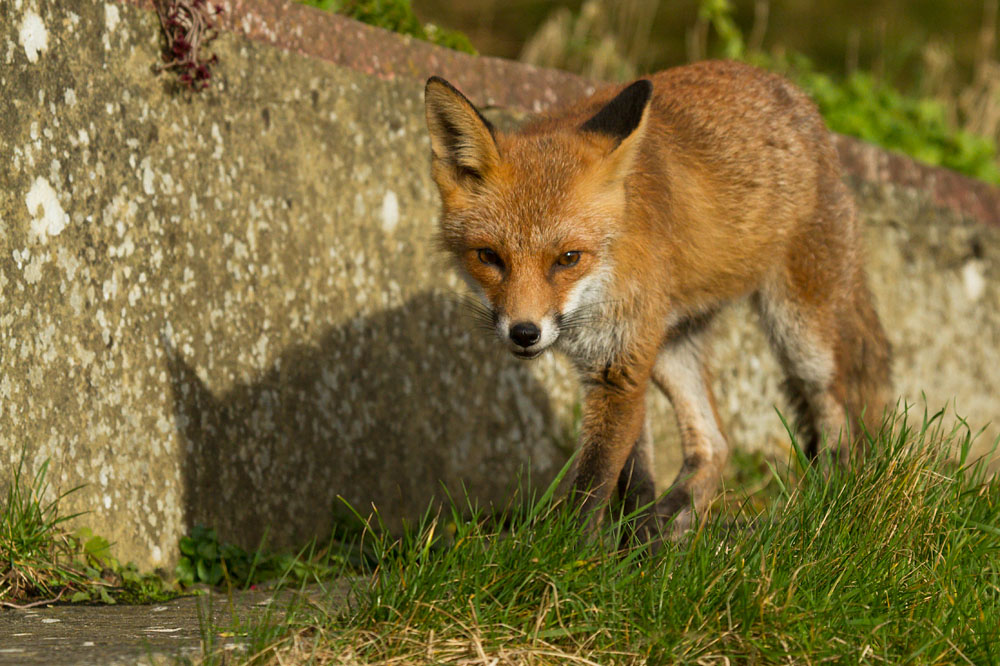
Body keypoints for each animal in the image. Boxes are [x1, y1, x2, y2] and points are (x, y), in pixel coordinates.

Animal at [423, 59, 892, 541]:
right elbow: (635, 478)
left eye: (568, 258)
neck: (600, 289)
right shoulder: (616, 363)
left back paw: (824, 507)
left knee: (837, 410)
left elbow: (593, 482)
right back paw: (674, 527)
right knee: (715, 444)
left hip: (802, 335)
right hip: (671, 347)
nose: (524, 333)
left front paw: (564, 553)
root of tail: (800, 101)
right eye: (489, 257)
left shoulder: (621, 368)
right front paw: (636, 545)